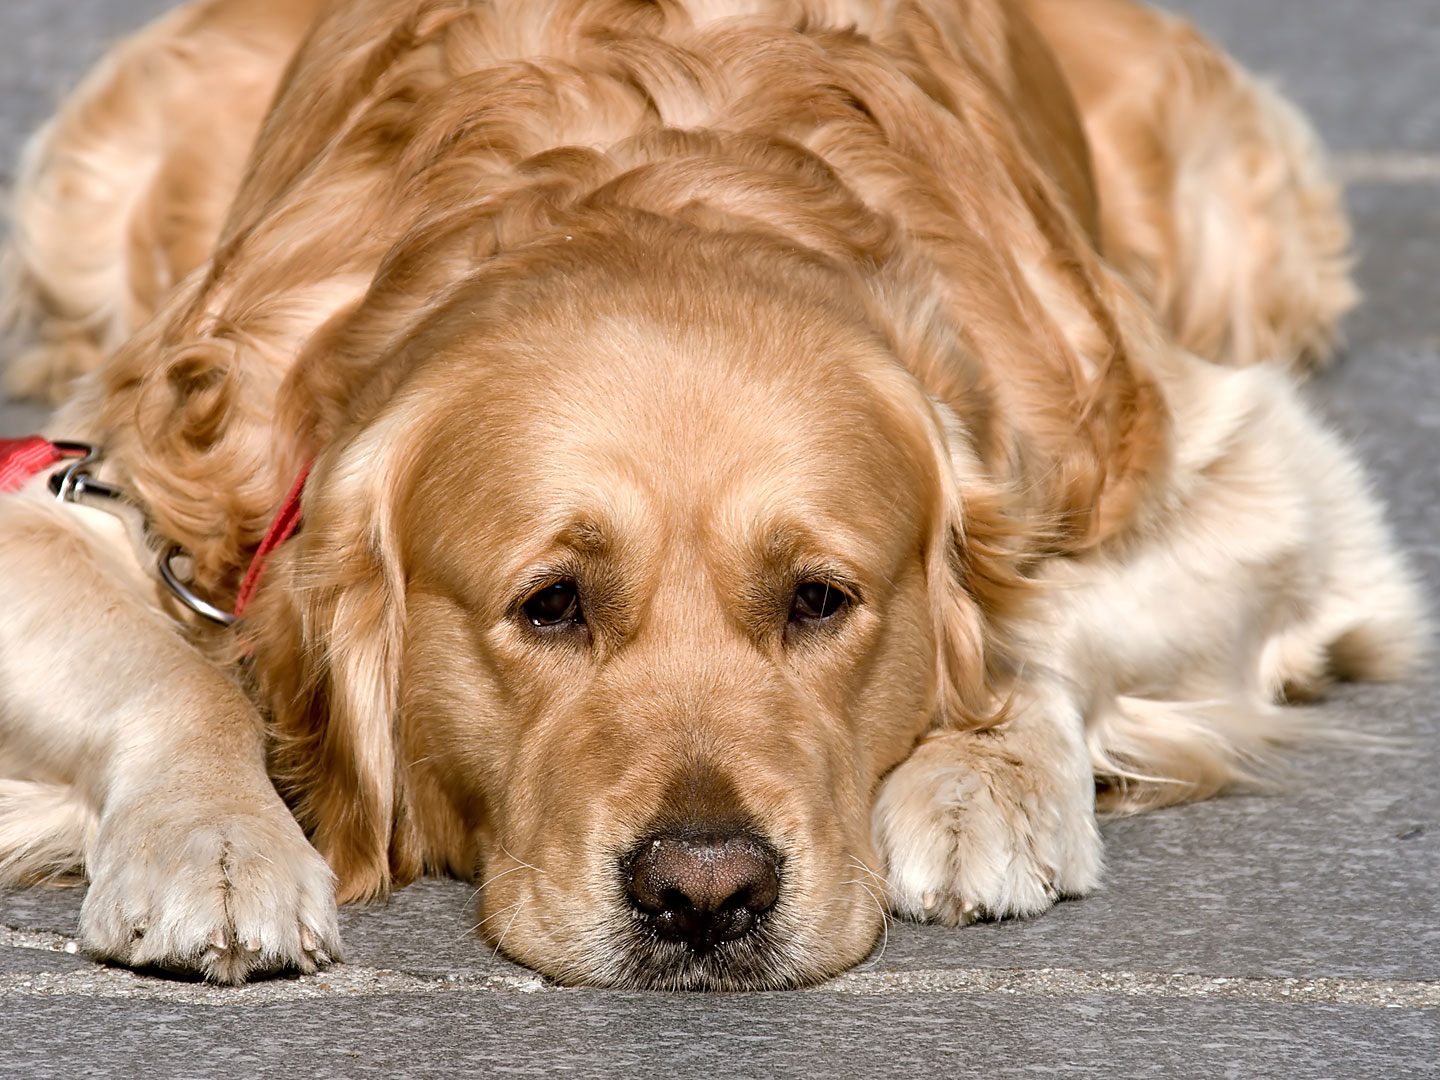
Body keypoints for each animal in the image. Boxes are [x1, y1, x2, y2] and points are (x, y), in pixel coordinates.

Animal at [0, 0, 1422, 990]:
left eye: (822, 599)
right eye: (551, 604)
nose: (703, 893)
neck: (656, 189)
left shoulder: (1266, 481)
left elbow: (1040, 612)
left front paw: (981, 781)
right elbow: (178, 672)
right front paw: (211, 842)